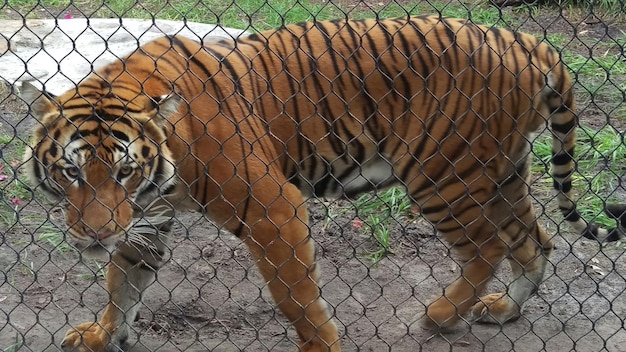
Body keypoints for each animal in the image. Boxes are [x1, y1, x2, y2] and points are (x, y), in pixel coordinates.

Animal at [20, 15, 620, 350]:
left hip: (443, 173)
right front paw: (103, 336)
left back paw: (441, 316)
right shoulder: (146, 219)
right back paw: (503, 310)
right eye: (72, 171)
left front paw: (322, 346)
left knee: (488, 246)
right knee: (535, 241)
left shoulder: (272, 207)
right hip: (500, 171)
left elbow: (297, 299)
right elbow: (121, 285)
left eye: (124, 171)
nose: (95, 235)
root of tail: (527, 40)